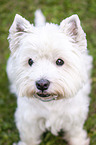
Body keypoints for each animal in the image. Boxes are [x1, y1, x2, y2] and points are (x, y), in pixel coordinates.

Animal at [6, 10, 92, 145]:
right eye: (30, 61)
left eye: (60, 61)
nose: (42, 84)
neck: (51, 102)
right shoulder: (29, 120)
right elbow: (29, 137)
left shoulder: (73, 116)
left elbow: (75, 132)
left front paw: (78, 141)